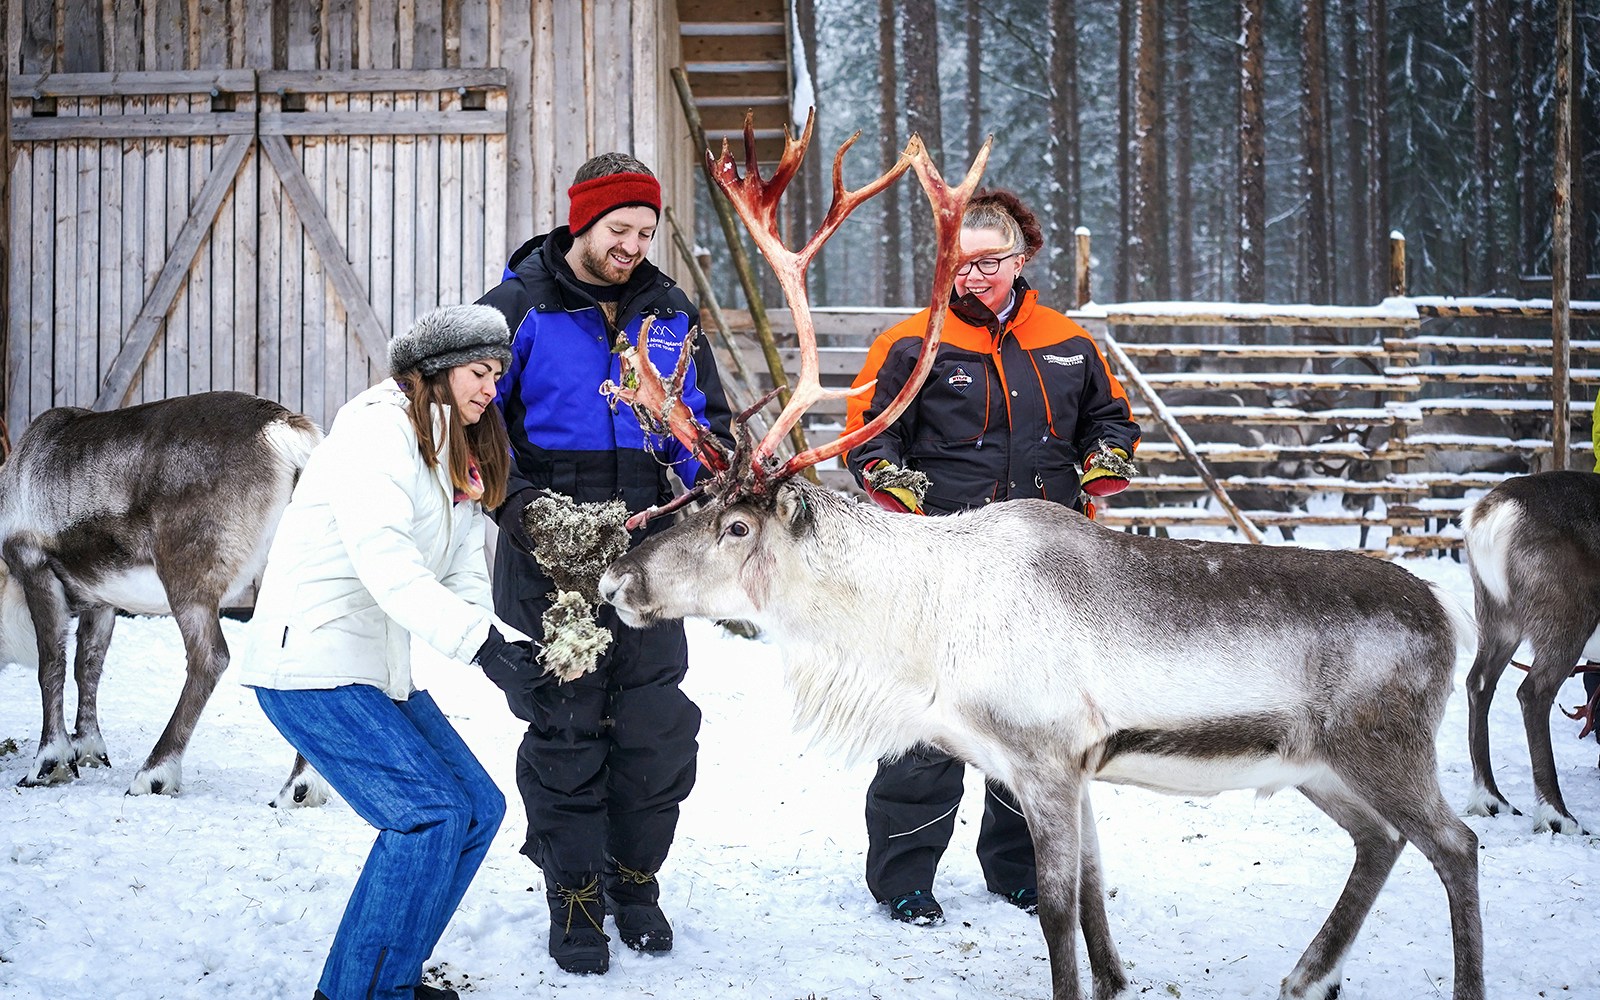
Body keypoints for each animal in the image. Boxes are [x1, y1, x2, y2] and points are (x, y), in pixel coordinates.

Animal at [1, 391, 329, 806]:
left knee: (210, 658)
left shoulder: (35, 566)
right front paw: (88, 749)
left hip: (187, 578)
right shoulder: (101, 598)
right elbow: (87, 665)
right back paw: (302, 786)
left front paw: (49, 762)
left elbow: (50, 666)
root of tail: (287, 430)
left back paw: (154, 773)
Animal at [587, 115, 1486, 1000]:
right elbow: (1091, 897)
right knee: (1381, 842)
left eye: (737, 527)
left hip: (1384, 747)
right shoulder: (1074, 767)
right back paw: (1307, 973)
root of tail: (1450, 617)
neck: (916, 633)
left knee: (1456, 844)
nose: (615, 577)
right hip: (1319, 766)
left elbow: (1057, 911)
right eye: (692, 503)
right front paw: (1117, 980)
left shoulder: (1045, 757)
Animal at [1460, 469, 1600, 835]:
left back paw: (1491, 799)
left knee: (1478, 683)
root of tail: (1492, 512)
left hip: (1497, 616)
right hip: (1567, 617)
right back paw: (1559, 817)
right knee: (1534, 692)